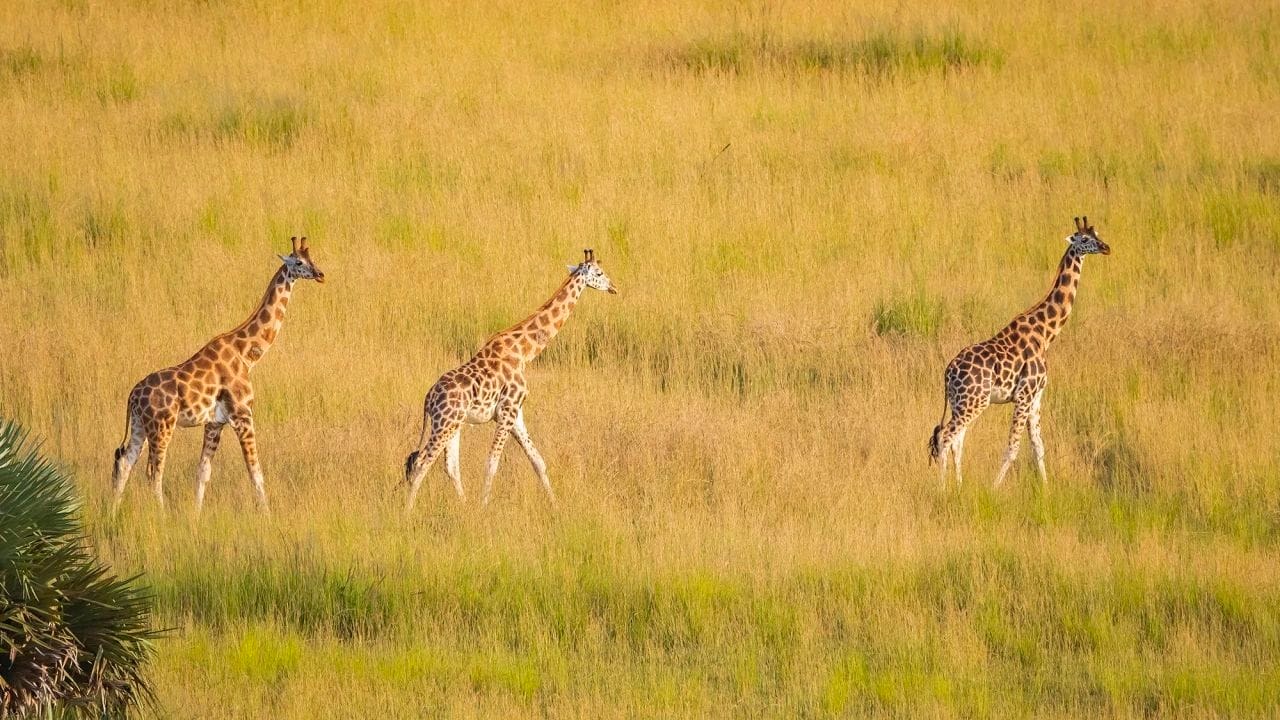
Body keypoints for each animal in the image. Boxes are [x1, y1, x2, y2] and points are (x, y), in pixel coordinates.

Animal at [111, 235, 325, 509]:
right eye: (299, 262)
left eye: (312, 258)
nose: (320, 274)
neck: (246, 354)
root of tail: (133, 396)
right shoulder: (243, 415)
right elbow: (255, 472)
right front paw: (267, 514)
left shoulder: (215, 422)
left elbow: (203, 472)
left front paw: (196, 514)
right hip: (162, 426)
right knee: (153, 472)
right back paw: (161, 514)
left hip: (140, 426)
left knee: (125, 463)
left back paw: (113, 512)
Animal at [401, 249, 616, 507]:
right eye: (599, 273)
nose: (614, 287)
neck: (525, 352)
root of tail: (428, 399)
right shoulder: (507, 411)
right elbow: (492, 463)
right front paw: (483, 507)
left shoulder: (516, 413)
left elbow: (538, 461)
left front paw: (555, 505)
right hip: (445, 422)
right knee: (421, 463)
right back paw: (408, 511)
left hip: (453, 423)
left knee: (449, 466)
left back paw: (463, 507)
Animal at [931, 217, 1111, 486]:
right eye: (1085, 239)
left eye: (1097, 233)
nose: (1106, 247)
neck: (1045, 333)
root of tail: (948, 372)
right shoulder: (1024, 395)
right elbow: (1013, 448)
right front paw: (994, 489)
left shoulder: (1036, 397)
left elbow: (1038, 446)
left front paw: (1046, 489)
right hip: (975, 401)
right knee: (946, 436)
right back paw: (943, 488)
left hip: (960, 402)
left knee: (957, 440)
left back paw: (958, 486)